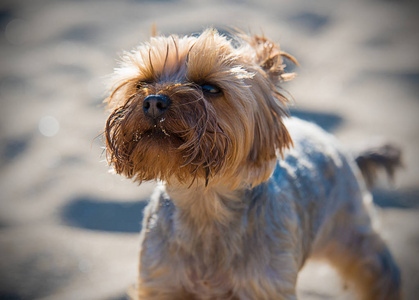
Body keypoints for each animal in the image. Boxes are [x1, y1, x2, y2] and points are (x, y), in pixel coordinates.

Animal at [103, 28, 402, 300]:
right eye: (142, 83)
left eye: (210, 88)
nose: (153, 101)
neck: (204, 202)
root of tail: (339, 146)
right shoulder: (161, 280)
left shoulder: (265, 284)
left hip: (350, 228)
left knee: (376, 267)